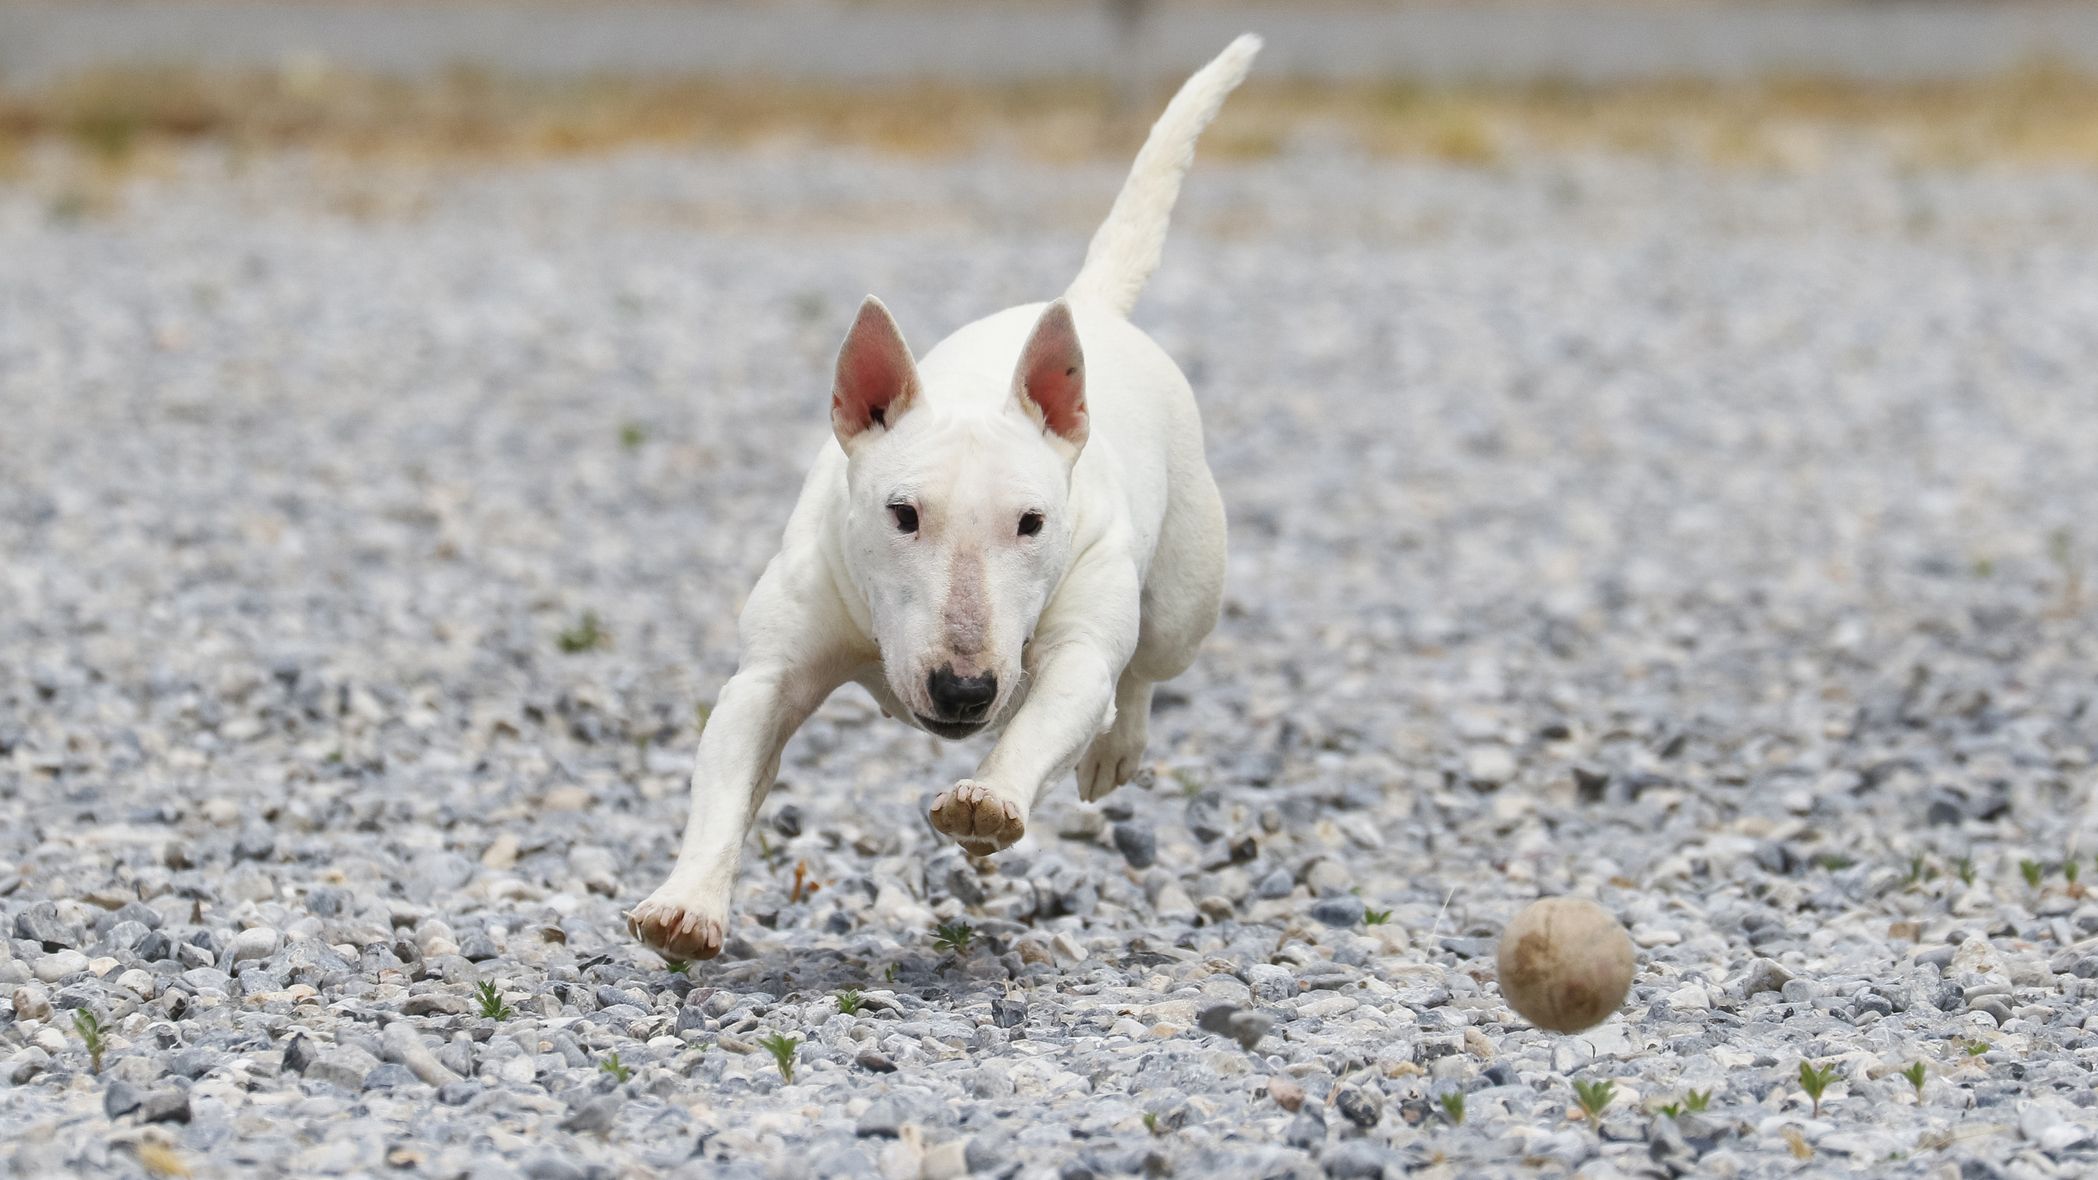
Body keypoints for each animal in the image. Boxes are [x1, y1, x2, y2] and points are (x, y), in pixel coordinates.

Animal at [621, 36, 1242, 957]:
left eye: (1032, 523)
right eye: (902, 514)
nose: (964, 693)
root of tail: (1089, 309)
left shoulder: (1071, 648)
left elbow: (1060, 701)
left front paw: (988, 799)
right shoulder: (769, 672)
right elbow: (726, 779)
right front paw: (686, 904)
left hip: (1183, 595)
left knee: (1143, 667)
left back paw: (1116, 747)